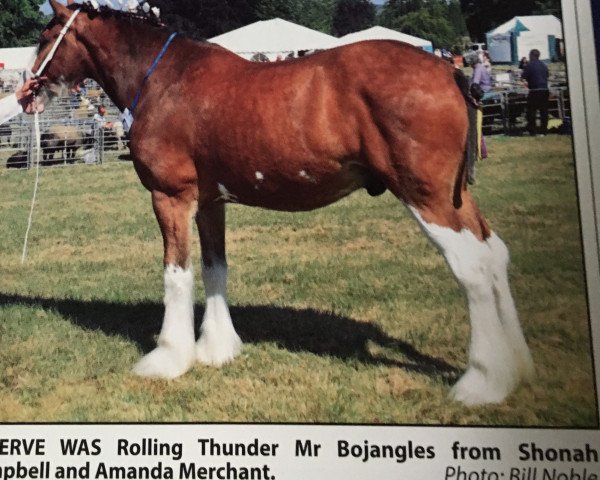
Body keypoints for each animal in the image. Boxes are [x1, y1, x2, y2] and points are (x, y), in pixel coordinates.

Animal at [32, 0, 532, 404]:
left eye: (46, 36)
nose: (27, 92)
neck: (162, 79)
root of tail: (447, 70)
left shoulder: (171, 197)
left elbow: (177, 273)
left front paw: (169, 358)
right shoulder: (210, 202)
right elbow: (214, 268)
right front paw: (217, 348)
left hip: (428, 198)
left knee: (473, 268)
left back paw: (481, 382)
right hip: (455, 198)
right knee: (495, 254)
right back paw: (514, 368)